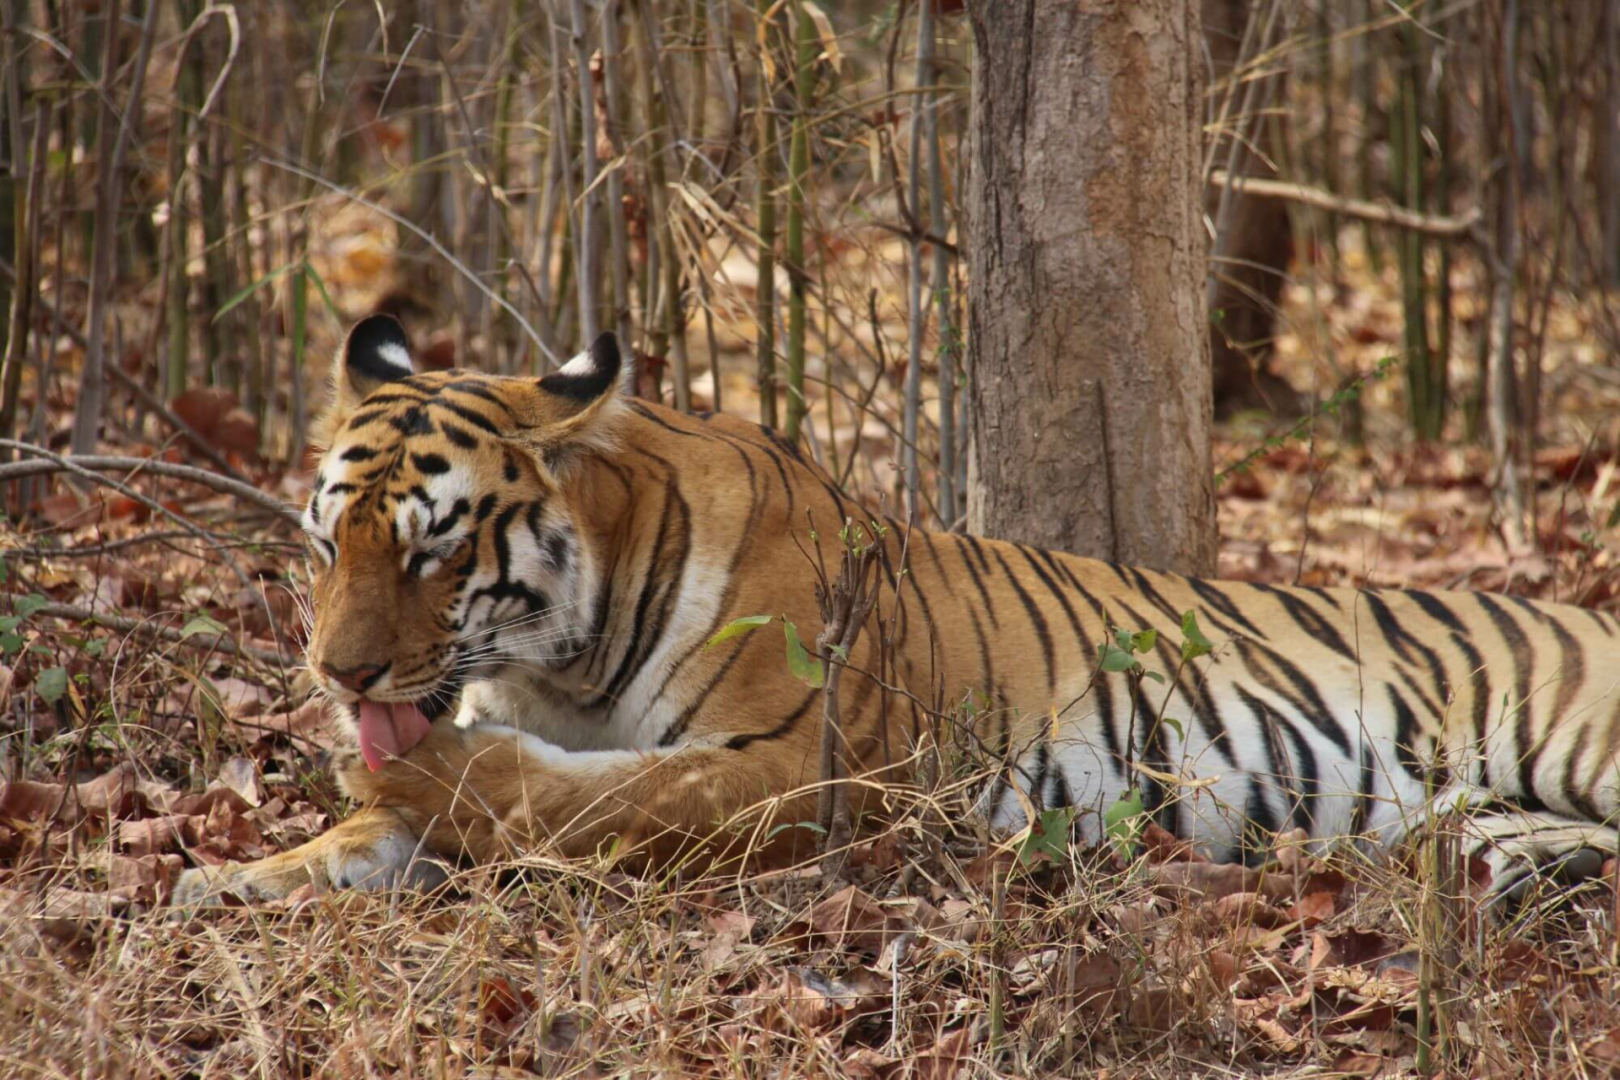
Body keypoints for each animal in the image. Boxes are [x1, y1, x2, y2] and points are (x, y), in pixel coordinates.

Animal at [173, 314, 1620, 909]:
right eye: (325, 545)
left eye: (430, 552)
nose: (334, 677)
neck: (553, 664)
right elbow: (362, 840)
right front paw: (224, 879)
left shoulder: (794, 767)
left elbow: (586, 797)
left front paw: (421, 778)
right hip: (1487, 829)